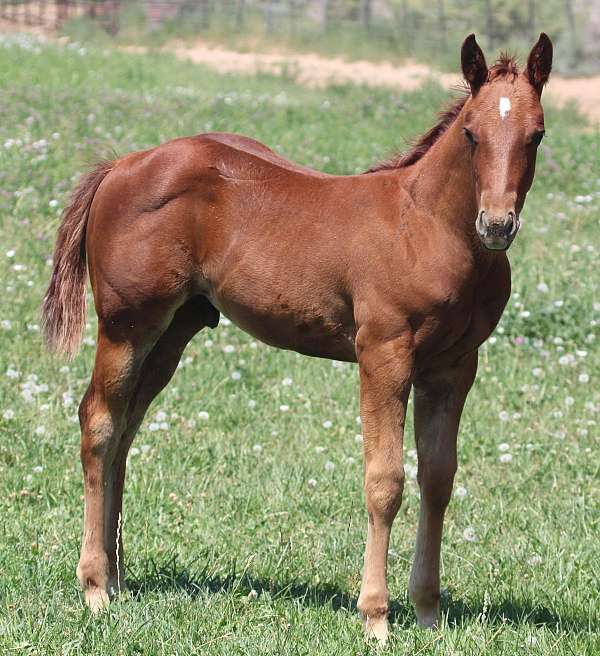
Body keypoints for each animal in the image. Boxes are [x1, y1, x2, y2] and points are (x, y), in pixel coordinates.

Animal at [42, 33, 552, 641]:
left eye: (537, 134)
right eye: (472, 133)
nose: (496, 226)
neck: (426, 227)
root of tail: (122, 165)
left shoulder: (454, 368)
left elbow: (438, 478)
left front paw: (428, 611)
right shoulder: (384, 354)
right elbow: (385, 481)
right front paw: (376, 615)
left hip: (173, 331)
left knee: (125, 427)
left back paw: (118, 577)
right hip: (127, 324)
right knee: (98, 422)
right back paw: (95, 586)